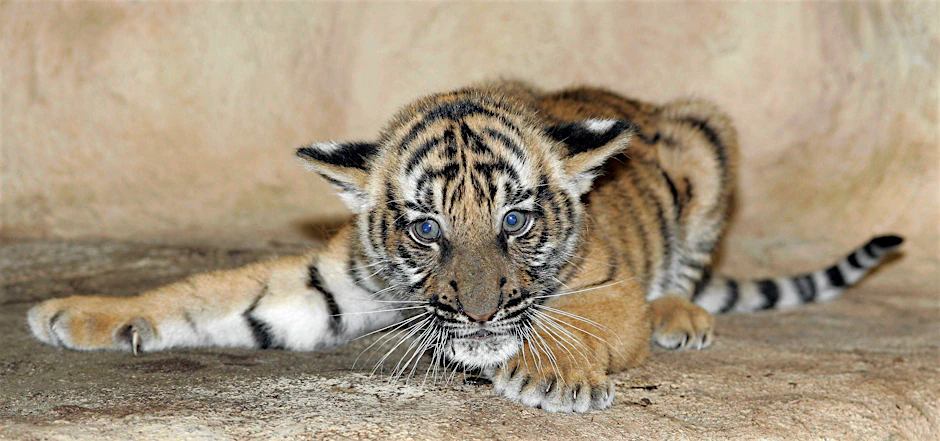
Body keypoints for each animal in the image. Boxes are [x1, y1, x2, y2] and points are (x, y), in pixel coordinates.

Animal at [27, 81, 904, 413]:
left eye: (515, 220)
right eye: (426, 228)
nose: (480, 315)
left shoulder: (608, 288)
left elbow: (577, 325)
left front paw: (549, 374)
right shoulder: (333, 277)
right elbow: (208, 294)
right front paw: (76, 311)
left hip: (706, 138)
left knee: (685, 275)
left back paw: (681, 315)